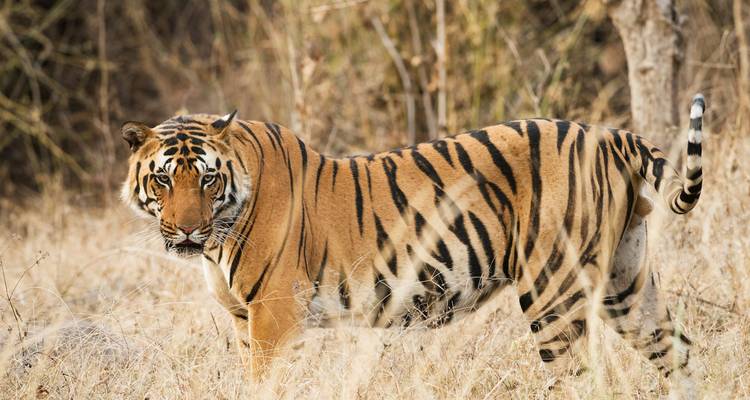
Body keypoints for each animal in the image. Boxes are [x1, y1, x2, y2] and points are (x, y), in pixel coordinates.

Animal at [121, 94, 705, 393]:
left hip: (552, 291)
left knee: (581, 379)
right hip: (626, 282)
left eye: (207, 179)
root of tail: (609, 135)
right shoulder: (245, 319)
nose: (187, 230)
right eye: (164, 180)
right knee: (678, 351)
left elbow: (264, 386)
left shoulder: (274, 314)